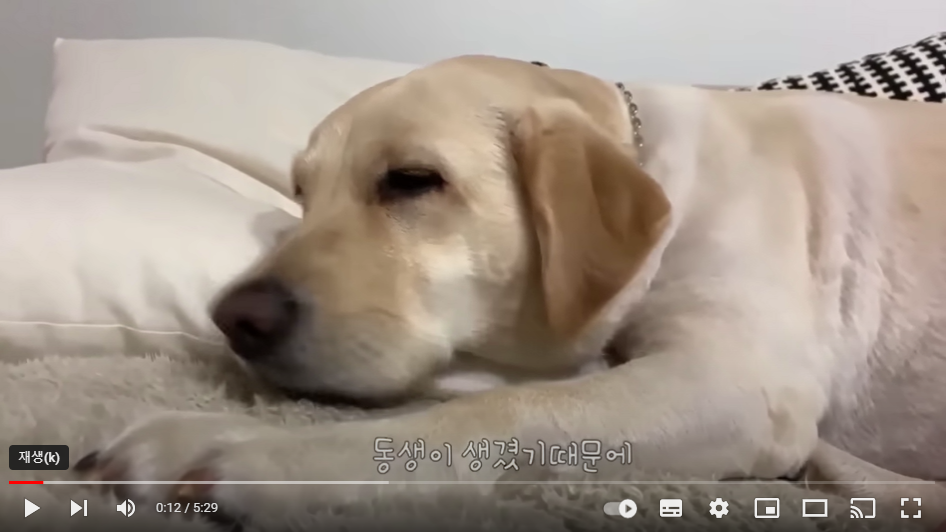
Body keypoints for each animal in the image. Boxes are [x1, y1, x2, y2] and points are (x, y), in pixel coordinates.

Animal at [77, 55, 946, 528]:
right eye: (301, 193)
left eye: (412, 181)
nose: (235, 319)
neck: (660, 174)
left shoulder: (739, 382)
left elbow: (498, 412)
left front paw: (268, 456)